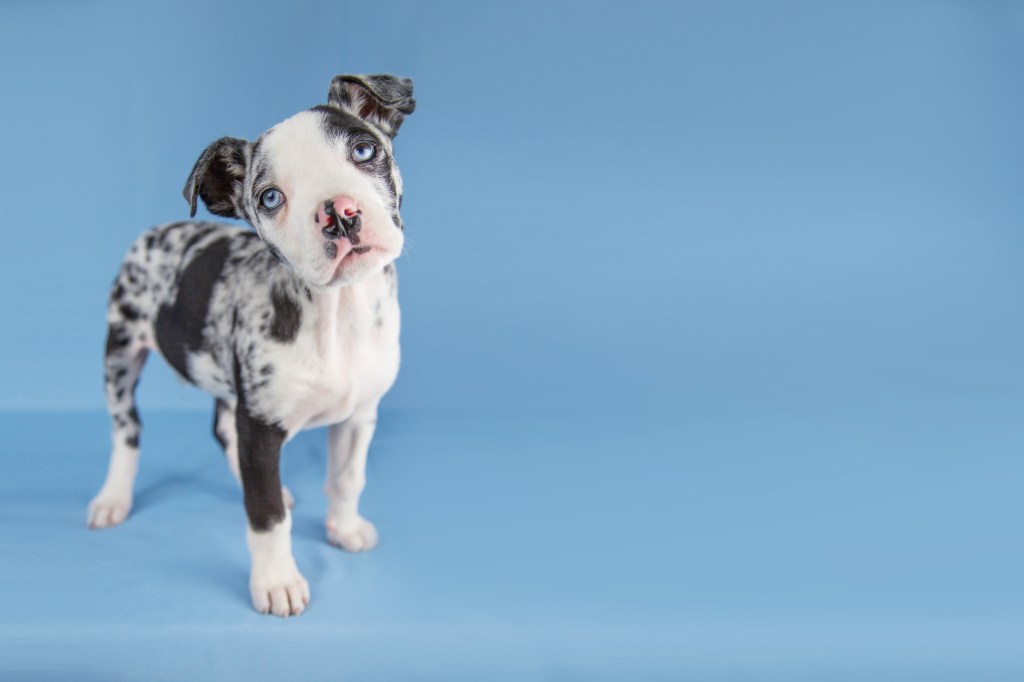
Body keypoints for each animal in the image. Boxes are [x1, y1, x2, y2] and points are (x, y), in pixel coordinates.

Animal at [84, 74, 411, 614]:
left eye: (364, 150)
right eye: (271, 198)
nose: (340, 214)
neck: (337, 314)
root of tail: (152, 232)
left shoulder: (359, 414)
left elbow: (347, 479)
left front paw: (344, 528)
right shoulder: (260, 425)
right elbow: (266, 515)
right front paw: (277, 580)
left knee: (222, 430)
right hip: (120, 352)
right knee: (127, 430)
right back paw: (113, 497)